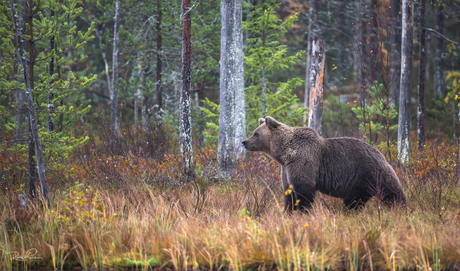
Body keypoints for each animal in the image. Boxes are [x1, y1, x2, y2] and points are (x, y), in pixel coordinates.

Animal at [241, 116, 406, 212]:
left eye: (256, 134)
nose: (244, 141)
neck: (285, 152)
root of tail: (381, 153)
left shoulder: (303, 162)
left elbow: (304, 191)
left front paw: (302, 211)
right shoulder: (286, 168)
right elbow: (289, 192)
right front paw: (288, 212)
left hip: (371, 172)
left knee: (391, 191)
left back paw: (400, 208)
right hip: (357, 185)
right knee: (354, 201)